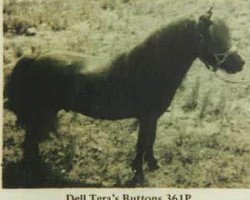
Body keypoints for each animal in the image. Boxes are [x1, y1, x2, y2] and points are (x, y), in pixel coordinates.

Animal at [4, 9, 245, 188]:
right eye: (212, 37)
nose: (240, 63)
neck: (150, 67)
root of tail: (35, 58)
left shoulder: (152, 118)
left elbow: (150, 141)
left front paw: (153, 165)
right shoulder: (146, 117)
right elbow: (141, 144)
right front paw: (138, 174)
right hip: (41, 114)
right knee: (30, 143)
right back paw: (35, 172)